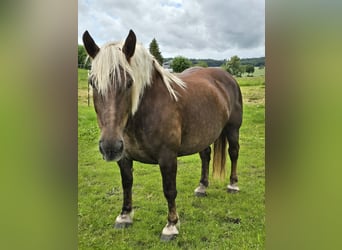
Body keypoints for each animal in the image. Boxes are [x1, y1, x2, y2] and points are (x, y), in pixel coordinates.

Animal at [82, 29, 243, 240]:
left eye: (129, 82)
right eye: (92, 82)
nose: (110, 147)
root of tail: (227, 76)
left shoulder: (167, 157)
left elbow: (169, 190)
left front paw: (171, 225)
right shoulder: (124, 157)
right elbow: (127, 183)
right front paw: (125, 216)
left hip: (233, 129)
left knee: (233, 153)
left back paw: (233, 185)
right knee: (205, 155)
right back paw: (202, 187)